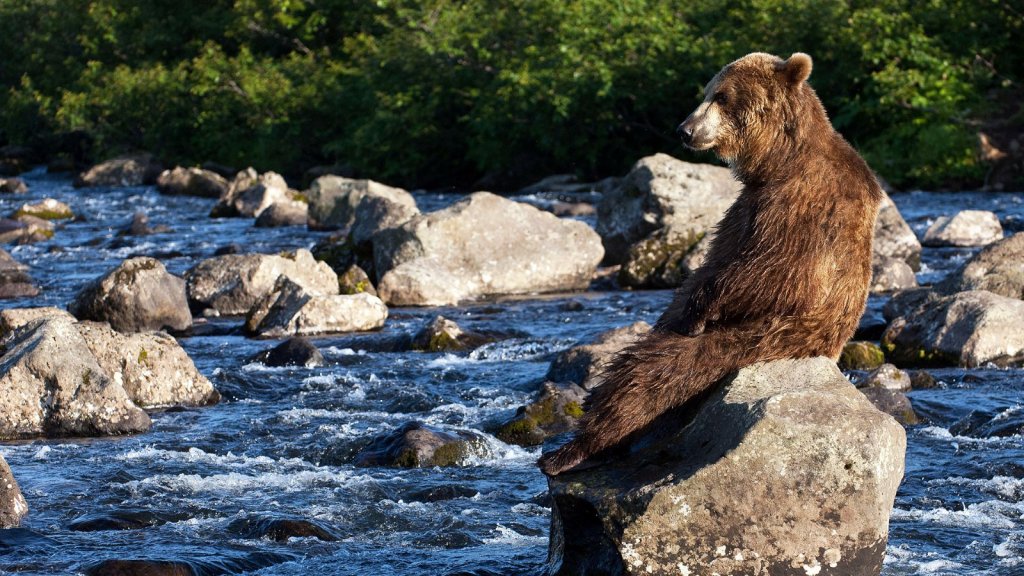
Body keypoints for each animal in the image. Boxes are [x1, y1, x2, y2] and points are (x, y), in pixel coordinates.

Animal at [540, 52, 884, 475]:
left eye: (720, 96)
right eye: (708, 92)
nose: (684, 129)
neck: (778, 161)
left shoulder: (802, 204)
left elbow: (776, 272)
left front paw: (699, 311)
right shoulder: (746, 207)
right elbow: (710, 266)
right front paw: (685, 311)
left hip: (763, 339)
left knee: (654, 372)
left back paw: (574, 450)